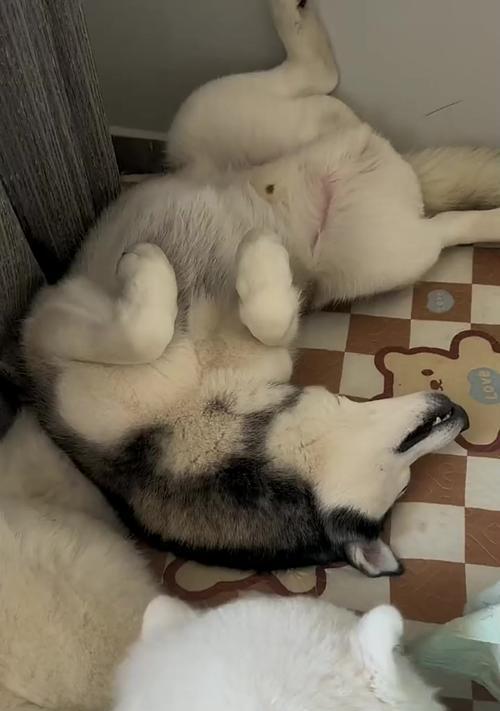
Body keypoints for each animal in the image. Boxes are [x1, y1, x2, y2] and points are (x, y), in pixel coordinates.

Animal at [20, 0, 479, 576]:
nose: (459, 413)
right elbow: (147, 333)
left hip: (377, 253)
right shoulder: (46, 324)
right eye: (405, 464)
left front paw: (258, 259)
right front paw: (242, 257)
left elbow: (252, 321)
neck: (203, 403)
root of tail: (377, 152)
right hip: (224, 126)